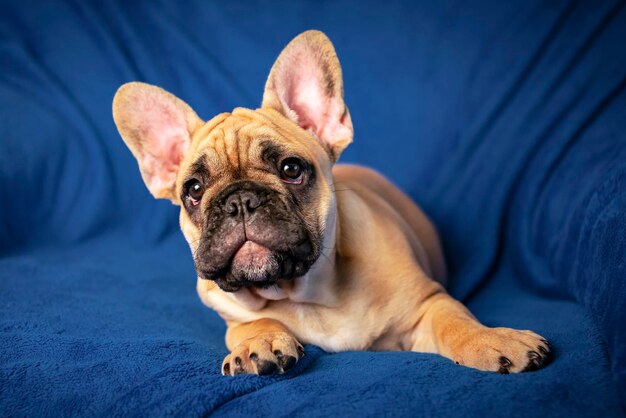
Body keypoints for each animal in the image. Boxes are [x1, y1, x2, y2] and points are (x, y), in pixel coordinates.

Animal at [113, 29, 552, 376]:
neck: (304, 294)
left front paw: (493, 340)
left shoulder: (427, 303)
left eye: (291, 168)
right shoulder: (230, 314)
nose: (240, 201)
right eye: (193, 189)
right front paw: (258, 342)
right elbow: (246, 326)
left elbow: (455, 321)